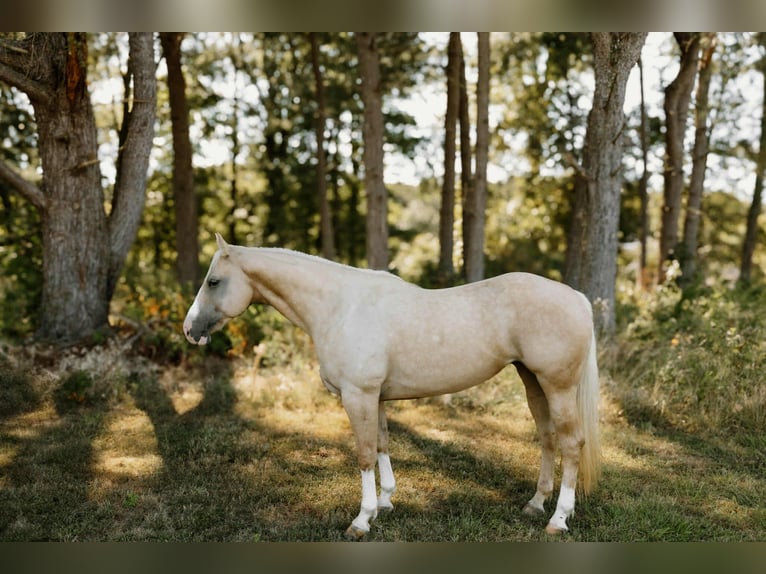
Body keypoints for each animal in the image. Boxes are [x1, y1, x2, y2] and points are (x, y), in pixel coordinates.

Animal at [183, 233, 601, 539]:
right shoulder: (376, 397)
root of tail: (576, 297)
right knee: (548, 439)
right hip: (533, 382)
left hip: (558, 386)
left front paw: (361, 520)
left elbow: (365, 454)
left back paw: (557, 520)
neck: (339, 307)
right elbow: (383, 444)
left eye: (213, 281)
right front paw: (385, 503)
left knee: (571, 444)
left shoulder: (359, 395)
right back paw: (535, 504)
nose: (190, 330)